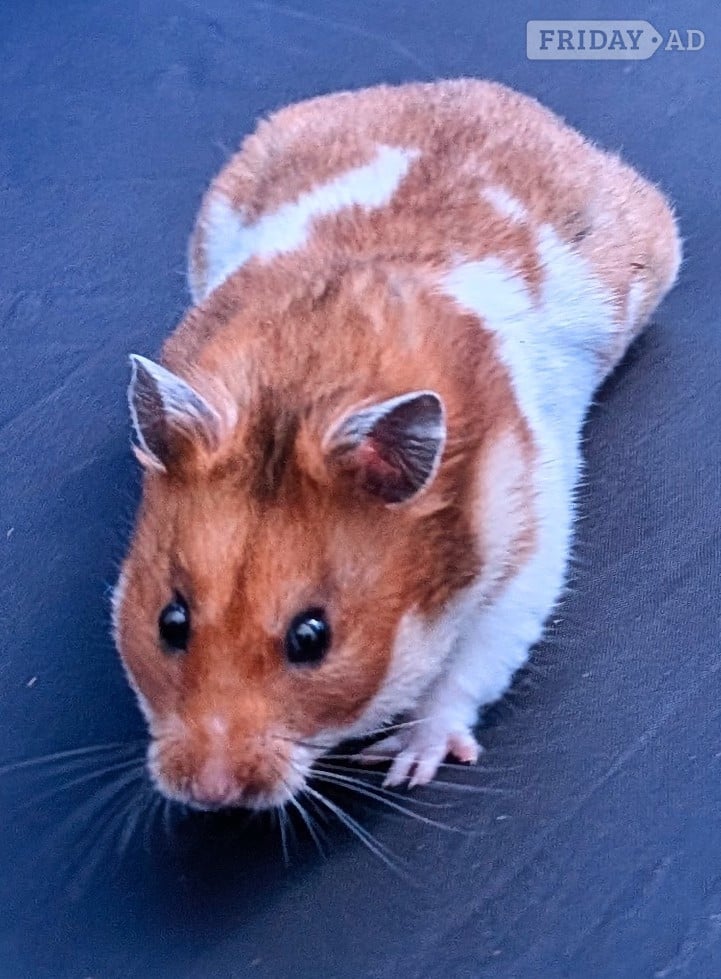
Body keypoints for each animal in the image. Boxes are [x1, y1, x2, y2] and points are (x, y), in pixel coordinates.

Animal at [112, 79, 680, 811]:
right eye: (169, 621)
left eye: (312, 637)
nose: (211, 793)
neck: (300, 389)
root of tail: (480, 89)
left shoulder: (526, 548)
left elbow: (469, 667)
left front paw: (405, 765)